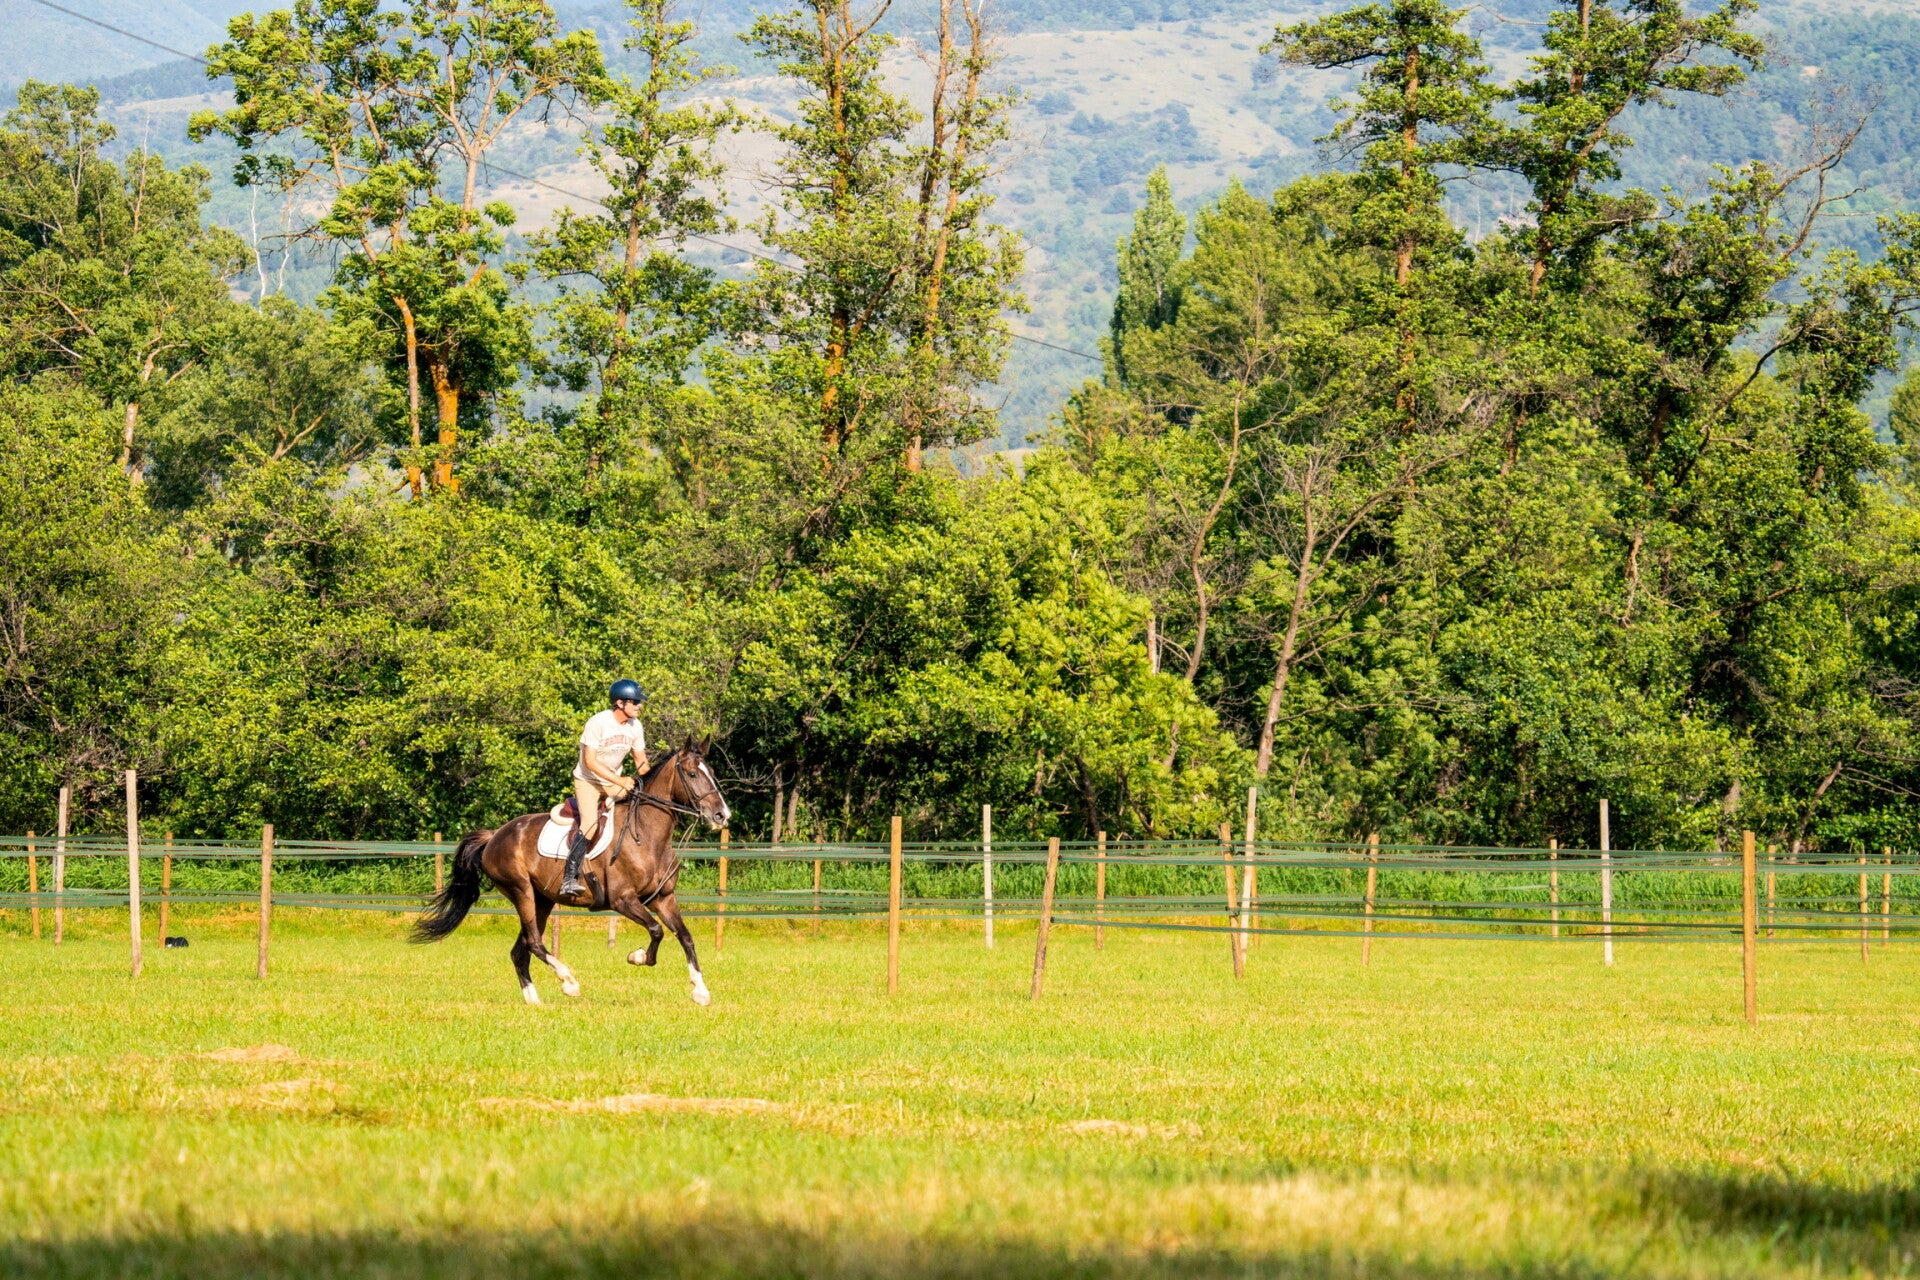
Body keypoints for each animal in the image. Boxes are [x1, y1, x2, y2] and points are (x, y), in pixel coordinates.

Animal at [411, 739, 732, 1005]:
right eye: (692, 774)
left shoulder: (663, 899)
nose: (722, 815)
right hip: (521, 891)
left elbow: (684, 936)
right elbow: (656, 930)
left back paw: (534, 1001)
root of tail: (494, 836)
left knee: (521, 950)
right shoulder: (623, 900)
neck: (646, 836)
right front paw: (637, 956)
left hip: (542, 900)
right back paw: (568, 981)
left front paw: (700, 991)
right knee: (534, 943)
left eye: (712, 771)